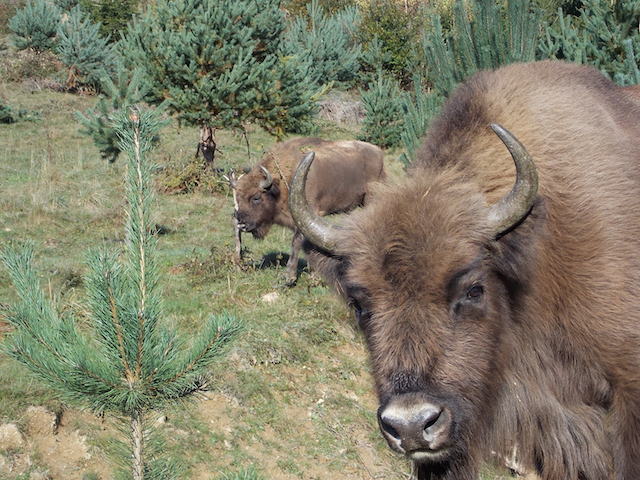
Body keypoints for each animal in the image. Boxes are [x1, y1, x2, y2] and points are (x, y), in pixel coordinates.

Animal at [235, 136, 384, 284]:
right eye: (238, 197)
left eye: (256, 197)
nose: (241, 224)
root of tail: (378, 152)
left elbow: (296, 242)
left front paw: (290, 277)